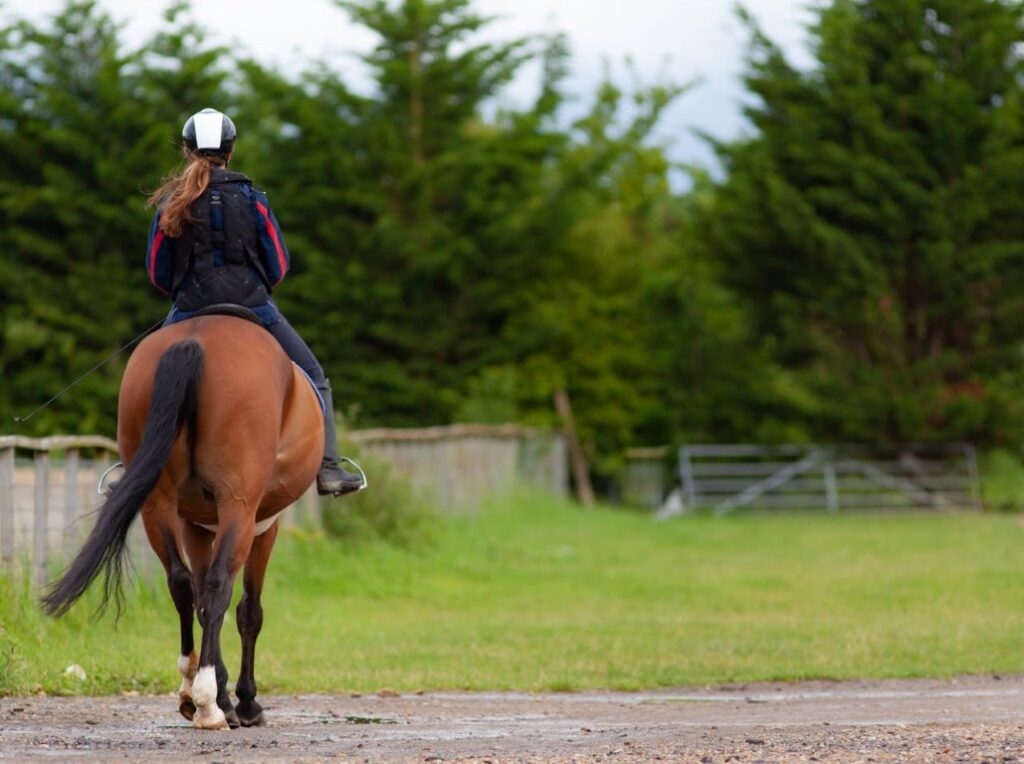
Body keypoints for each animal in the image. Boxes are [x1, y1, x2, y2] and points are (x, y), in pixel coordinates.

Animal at [41, 307, 324, 730]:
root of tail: (196, 338)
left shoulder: (195, 525)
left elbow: (204, 601)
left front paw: (223, 695)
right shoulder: (264, 525)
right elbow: (247, 611)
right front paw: (244, 702)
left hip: (157, 505)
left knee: (181, 582)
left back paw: (193, 689)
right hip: (238, 507)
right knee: (219, 585)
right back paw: (208, 702)